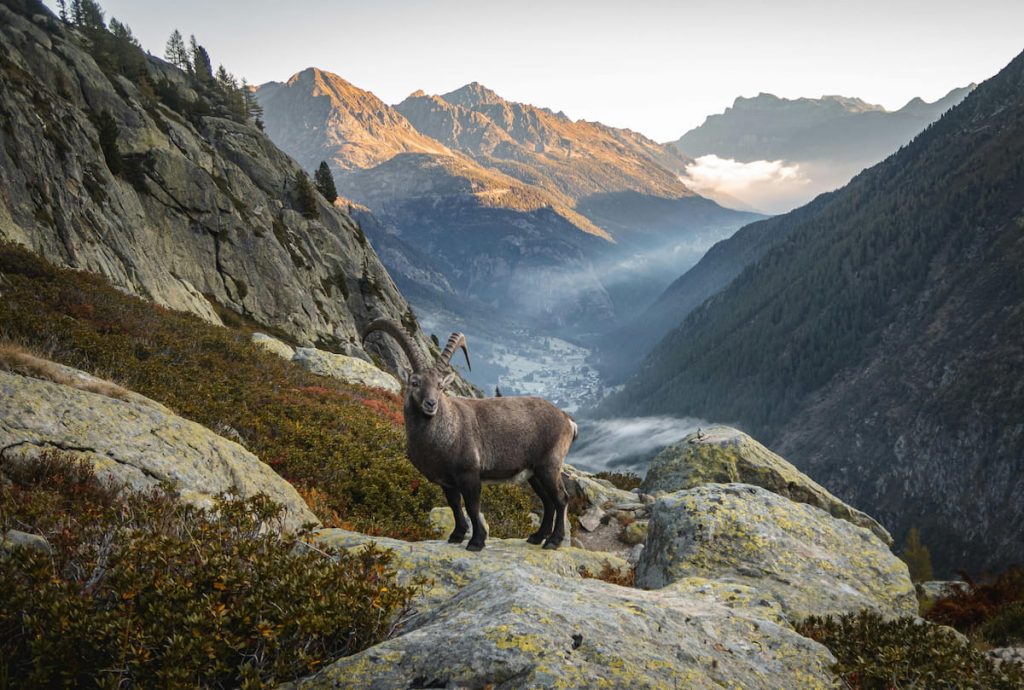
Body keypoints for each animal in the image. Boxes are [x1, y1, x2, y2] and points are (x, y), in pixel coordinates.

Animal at [362, 318, 577, 551]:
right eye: (415, 382)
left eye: (440, 385)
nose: (431, 404)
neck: (445, 430)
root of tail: (568, 420)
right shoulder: (446, 481)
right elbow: (455, 505)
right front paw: (457, 535)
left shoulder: (469, 474)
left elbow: (473, 507)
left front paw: (476, 541)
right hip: (534, 473)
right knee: (548, 501)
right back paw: (537, 537)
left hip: (549, 466)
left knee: (561, 499)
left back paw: (553, 541)